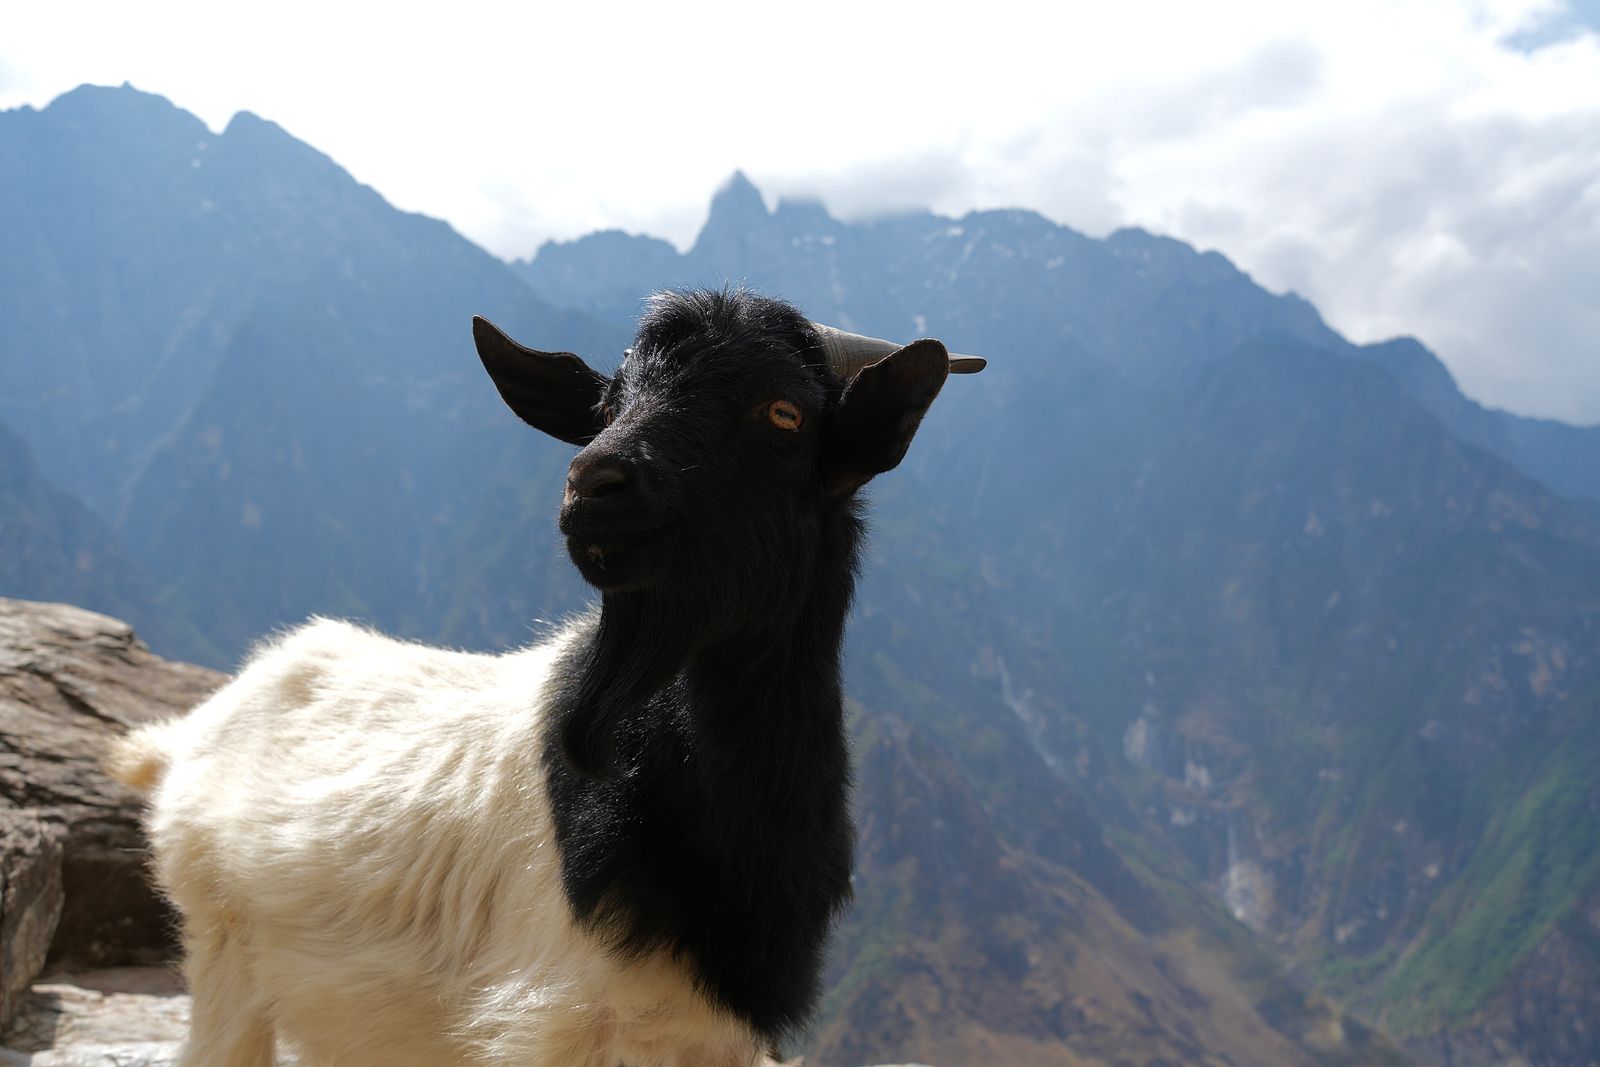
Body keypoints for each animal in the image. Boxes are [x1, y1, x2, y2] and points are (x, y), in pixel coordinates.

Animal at [110, 288, 984, 1067]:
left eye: (783, 413)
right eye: (608, 403)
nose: (593, 482)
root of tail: (194, 729)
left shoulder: (714, 1037)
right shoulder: (553, 1018)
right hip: (221, 944)